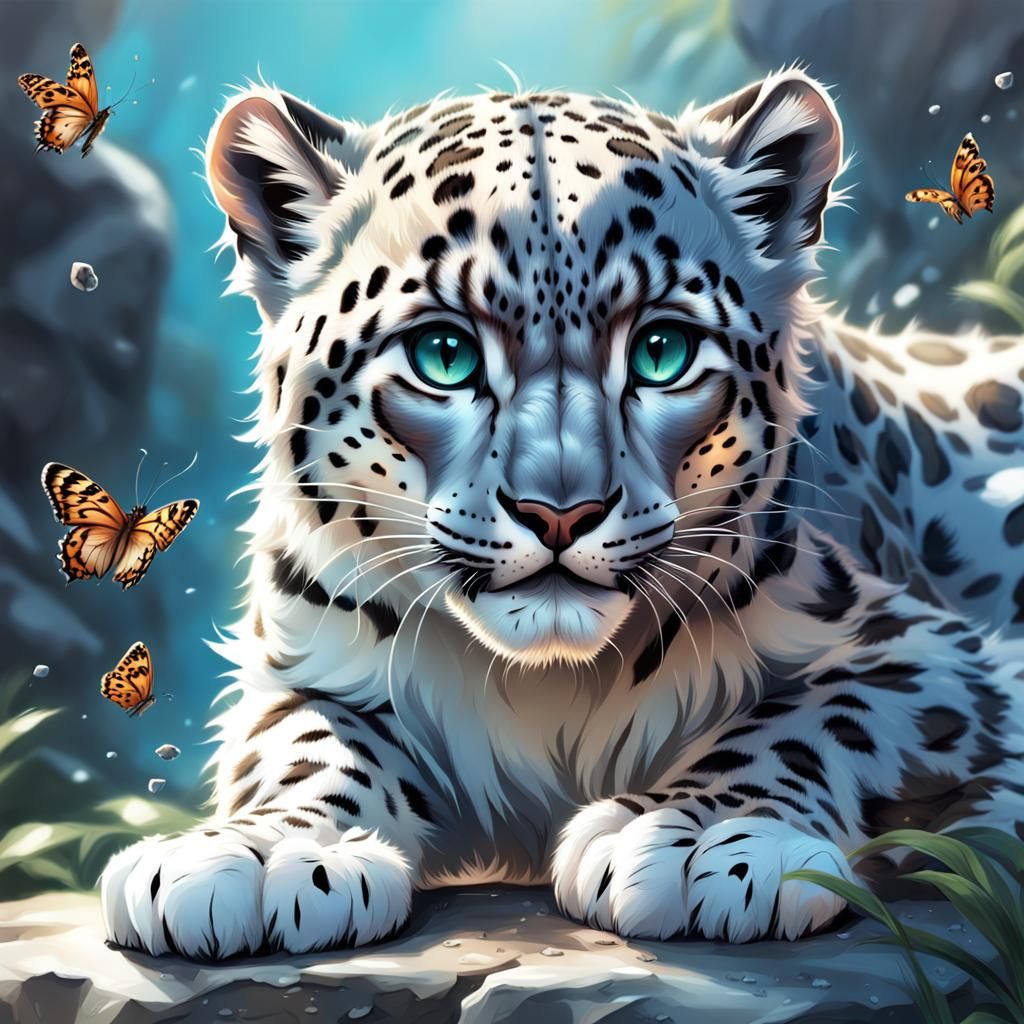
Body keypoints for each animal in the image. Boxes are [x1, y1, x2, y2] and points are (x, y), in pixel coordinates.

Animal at [100, 68, 1024, 958]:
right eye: (444, 353)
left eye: (663, 351)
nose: (559, 512)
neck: (548, 690)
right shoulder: (305, 662)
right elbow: (305, 745)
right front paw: (261, 853)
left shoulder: (936, 650)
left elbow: (807, 716)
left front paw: (701, 839)